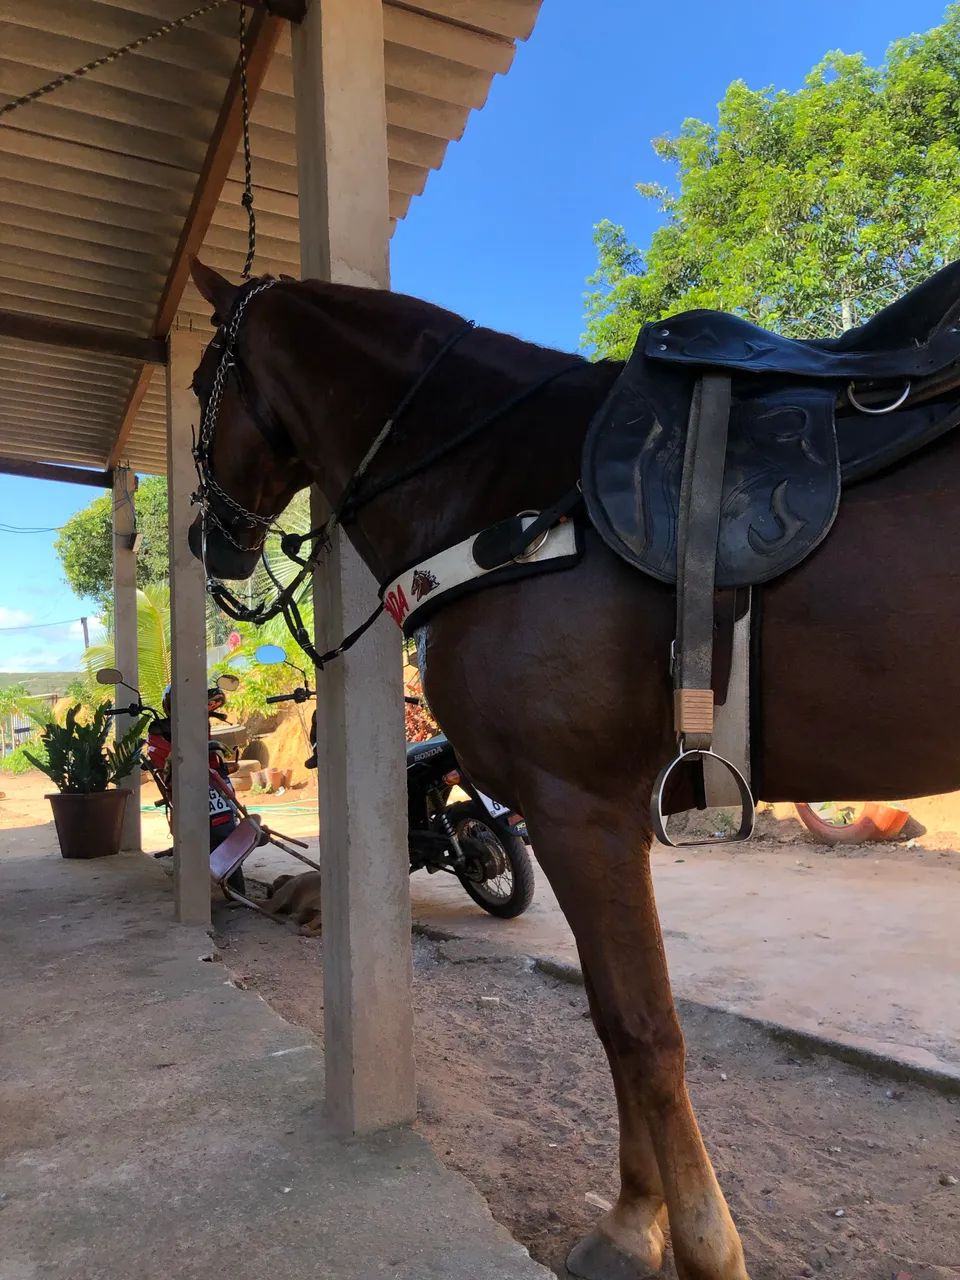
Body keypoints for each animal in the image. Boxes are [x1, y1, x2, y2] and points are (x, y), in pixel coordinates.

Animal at [185, 258, 960, 1280]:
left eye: (202, 384)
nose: (202, 541)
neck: (505, 487)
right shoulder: (597, 814)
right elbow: (609, 1015)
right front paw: (635, 1223)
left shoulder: (575, 808)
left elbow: (642, 1030)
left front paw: (701, 1245)